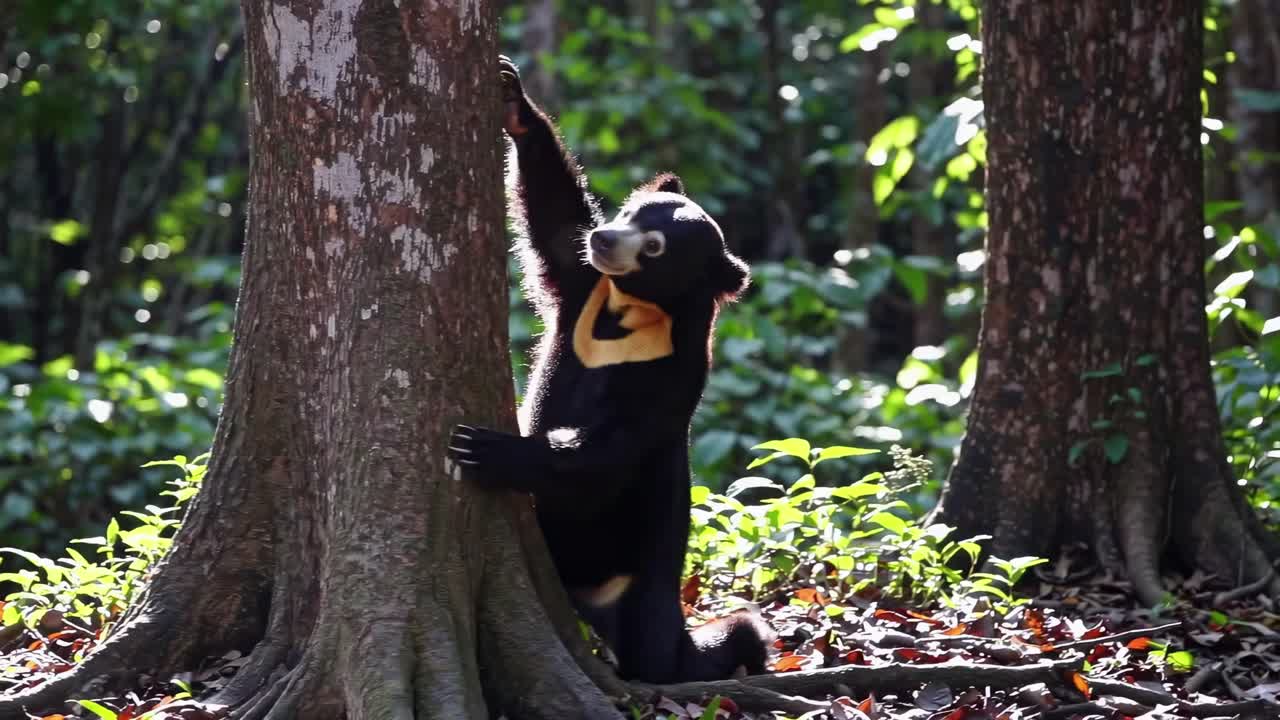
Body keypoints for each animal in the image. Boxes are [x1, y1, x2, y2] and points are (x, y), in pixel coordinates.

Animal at [447, 57, 771, 683]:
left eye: (654, 245)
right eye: (627, 212)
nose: (602, 239)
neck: (629, 313)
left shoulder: (670, 375)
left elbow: (608, 447)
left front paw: (482, 446)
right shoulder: (581, 287)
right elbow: (554, 223)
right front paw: (511, 94)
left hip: (643, 583)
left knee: (674, 650)